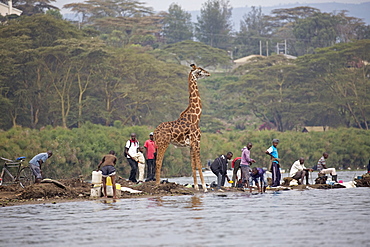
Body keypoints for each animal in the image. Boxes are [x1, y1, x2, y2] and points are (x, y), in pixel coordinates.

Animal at [153, 64, 210, 192]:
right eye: (200, 70)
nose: (208, 73)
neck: (196, 117)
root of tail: (154, 132)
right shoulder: (197, 142)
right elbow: (199, 164)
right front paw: (204, 187)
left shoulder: (191, 145)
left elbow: (193, 165)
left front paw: (196, 187)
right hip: (163, 143)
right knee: (158, 162)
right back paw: (158, 184)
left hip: (159, 144)